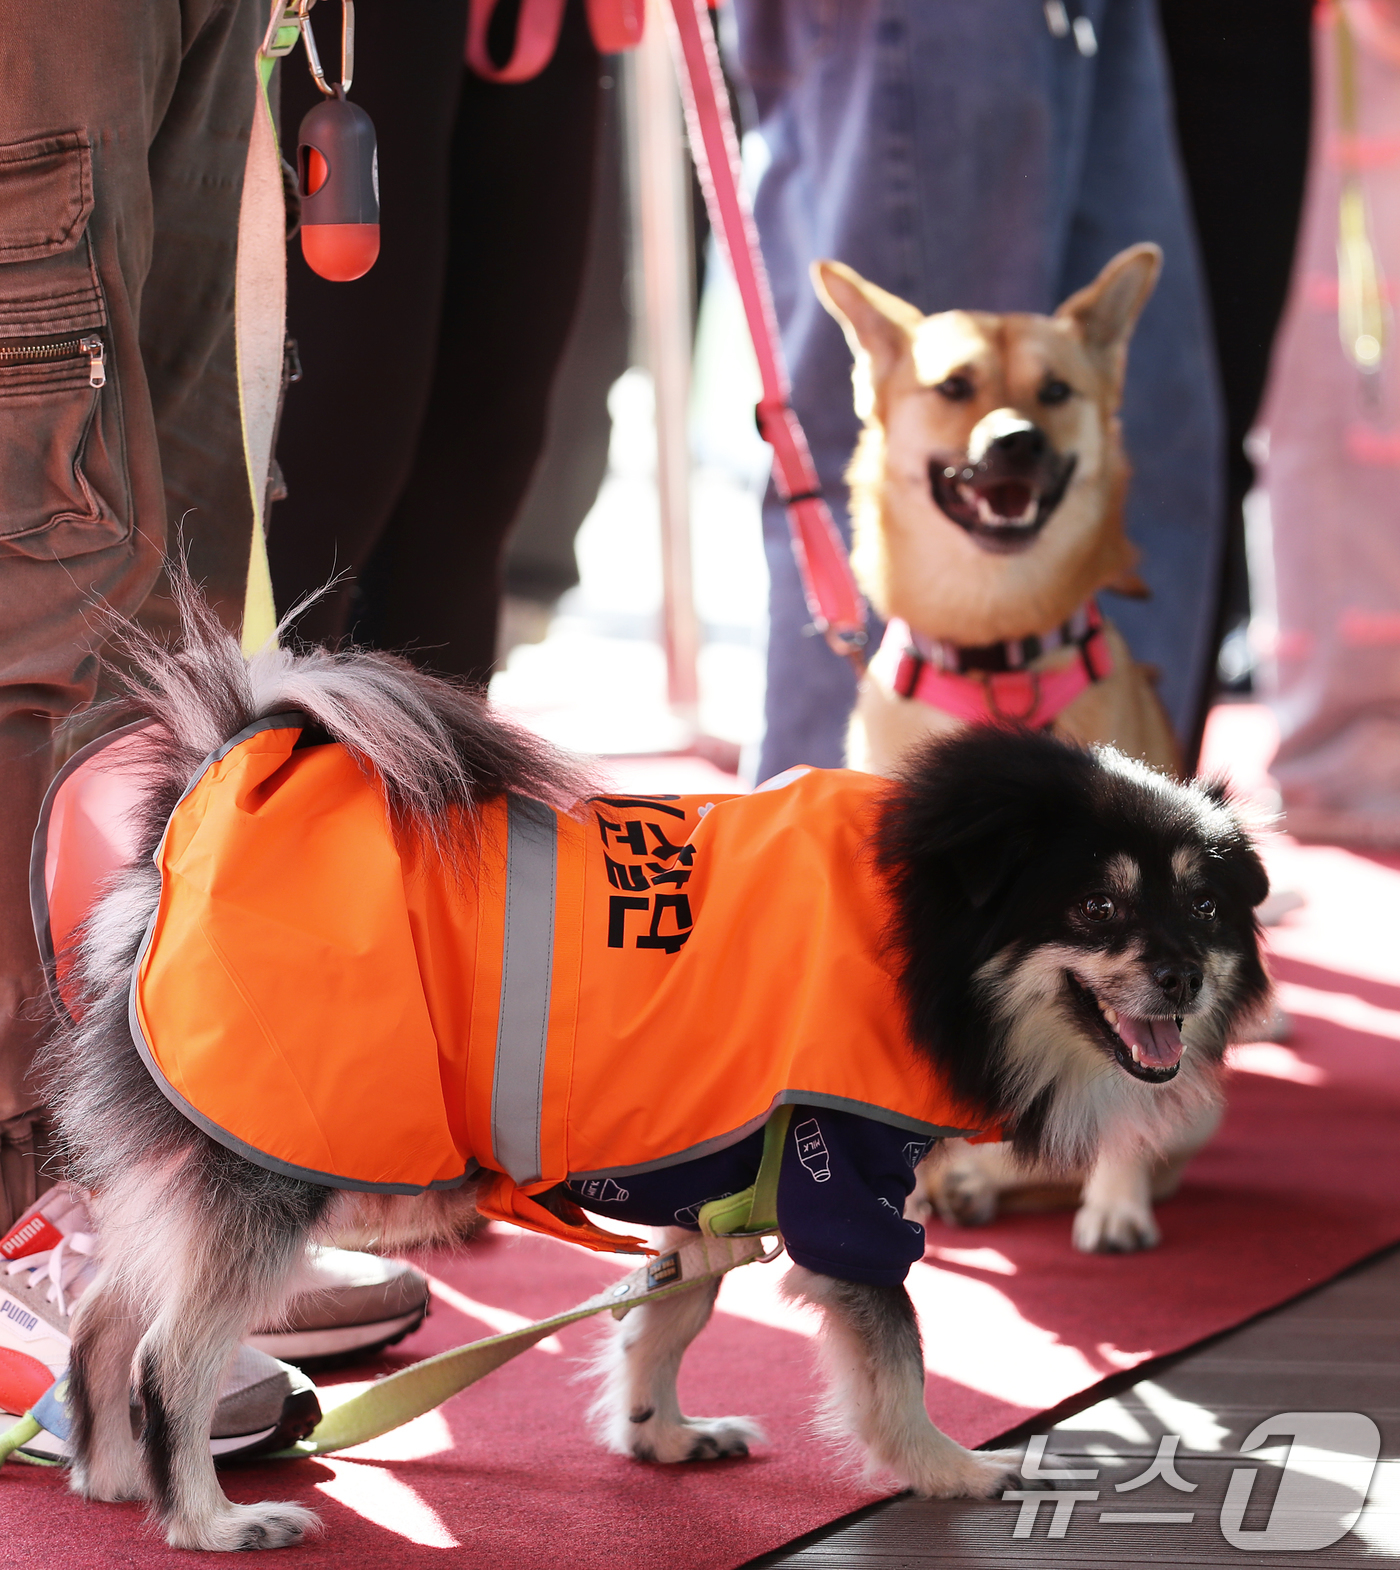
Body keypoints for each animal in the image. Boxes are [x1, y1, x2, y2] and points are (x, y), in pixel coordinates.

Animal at [41, 590, 1268, 1544]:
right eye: (1097, 908)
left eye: (1205, 909)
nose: (1182, 976)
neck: (922, 933)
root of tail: (207, 795)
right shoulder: (841, 1187)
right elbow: (897, 1358)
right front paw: (946, 1465)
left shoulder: (718, 1195)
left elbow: (663, 1321)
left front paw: (659, 1434)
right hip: (278, 1165)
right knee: (166, 1357)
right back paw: (207, 1519)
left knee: (103, 1314)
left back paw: (109, 1475)